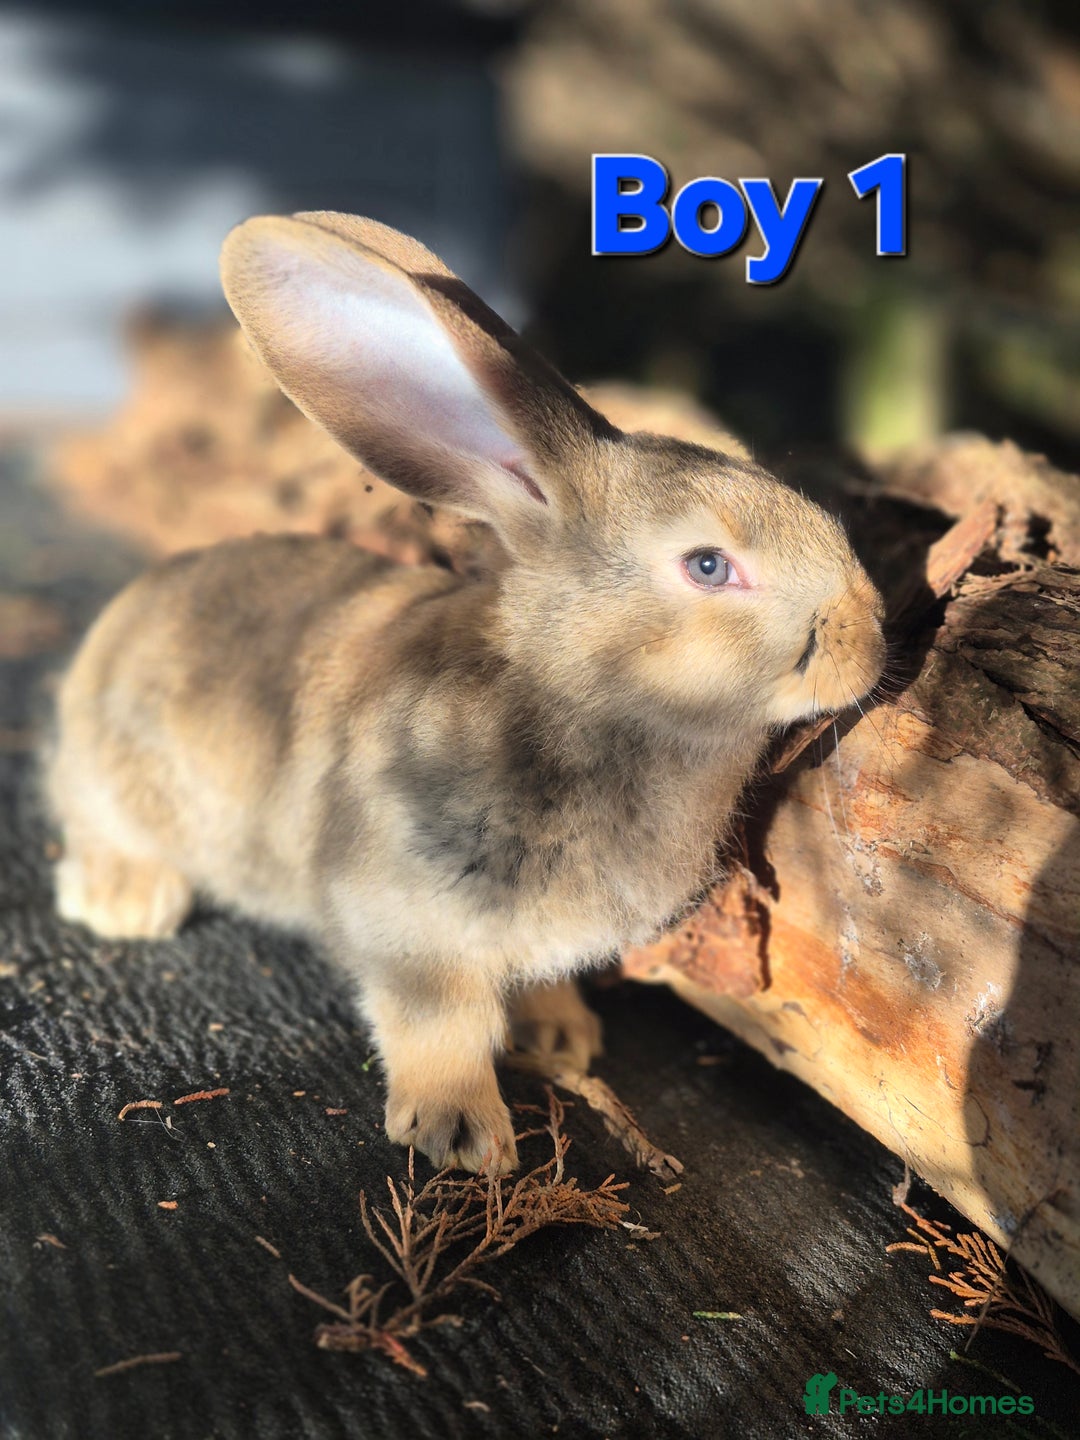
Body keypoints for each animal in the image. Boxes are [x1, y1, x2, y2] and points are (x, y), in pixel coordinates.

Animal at [47, 211, 886, 1174]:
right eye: (708, 566)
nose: (873, 637)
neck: (575, 689)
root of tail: (116, 623)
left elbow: (541, 980)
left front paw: (563, 1034)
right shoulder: (410, 926)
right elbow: (437, 1025)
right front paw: (462, 1132)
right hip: (115, 780)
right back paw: (125, 900)